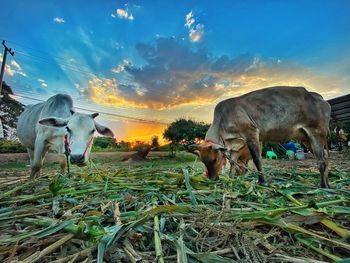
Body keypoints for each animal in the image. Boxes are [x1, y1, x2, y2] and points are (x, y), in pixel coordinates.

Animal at [191, 87, 330, 189]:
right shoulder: (235, 145)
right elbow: (233, 163)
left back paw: (323, 186)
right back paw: (328, 184)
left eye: (214, 160)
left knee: (321, 161)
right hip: (306, 139)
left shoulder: (251, 134)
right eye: (203, 161)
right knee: (324, 156)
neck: (222, 120)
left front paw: (262, 181)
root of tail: (319, 97)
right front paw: (231, 178)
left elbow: (257, 160)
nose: (212, 179)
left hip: (316, 133)